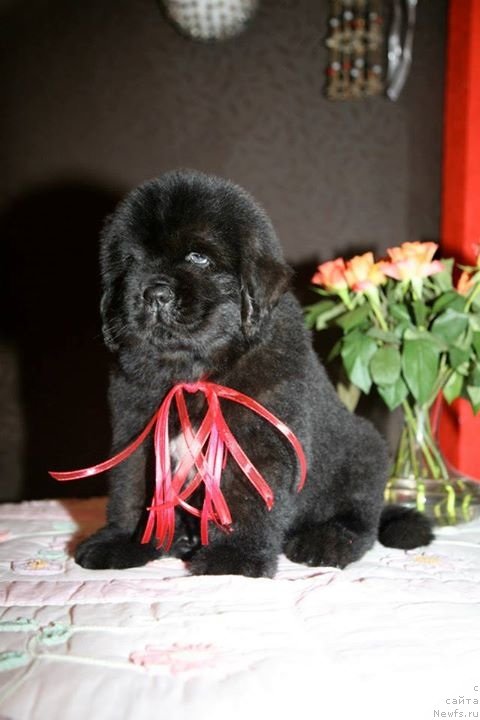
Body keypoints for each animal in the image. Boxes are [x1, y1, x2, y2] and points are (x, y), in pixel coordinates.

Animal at [75, 170, 432, 580]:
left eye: (198, 257)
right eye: (131, 261)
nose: (154, 293)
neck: (194, 373)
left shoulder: (256, 437)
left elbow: (244, 499)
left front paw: (233, 558)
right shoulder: (136, 429)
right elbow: (131, 489)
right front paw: (125, 541)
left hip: (364, 452)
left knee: (361, 520)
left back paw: (326, 541)